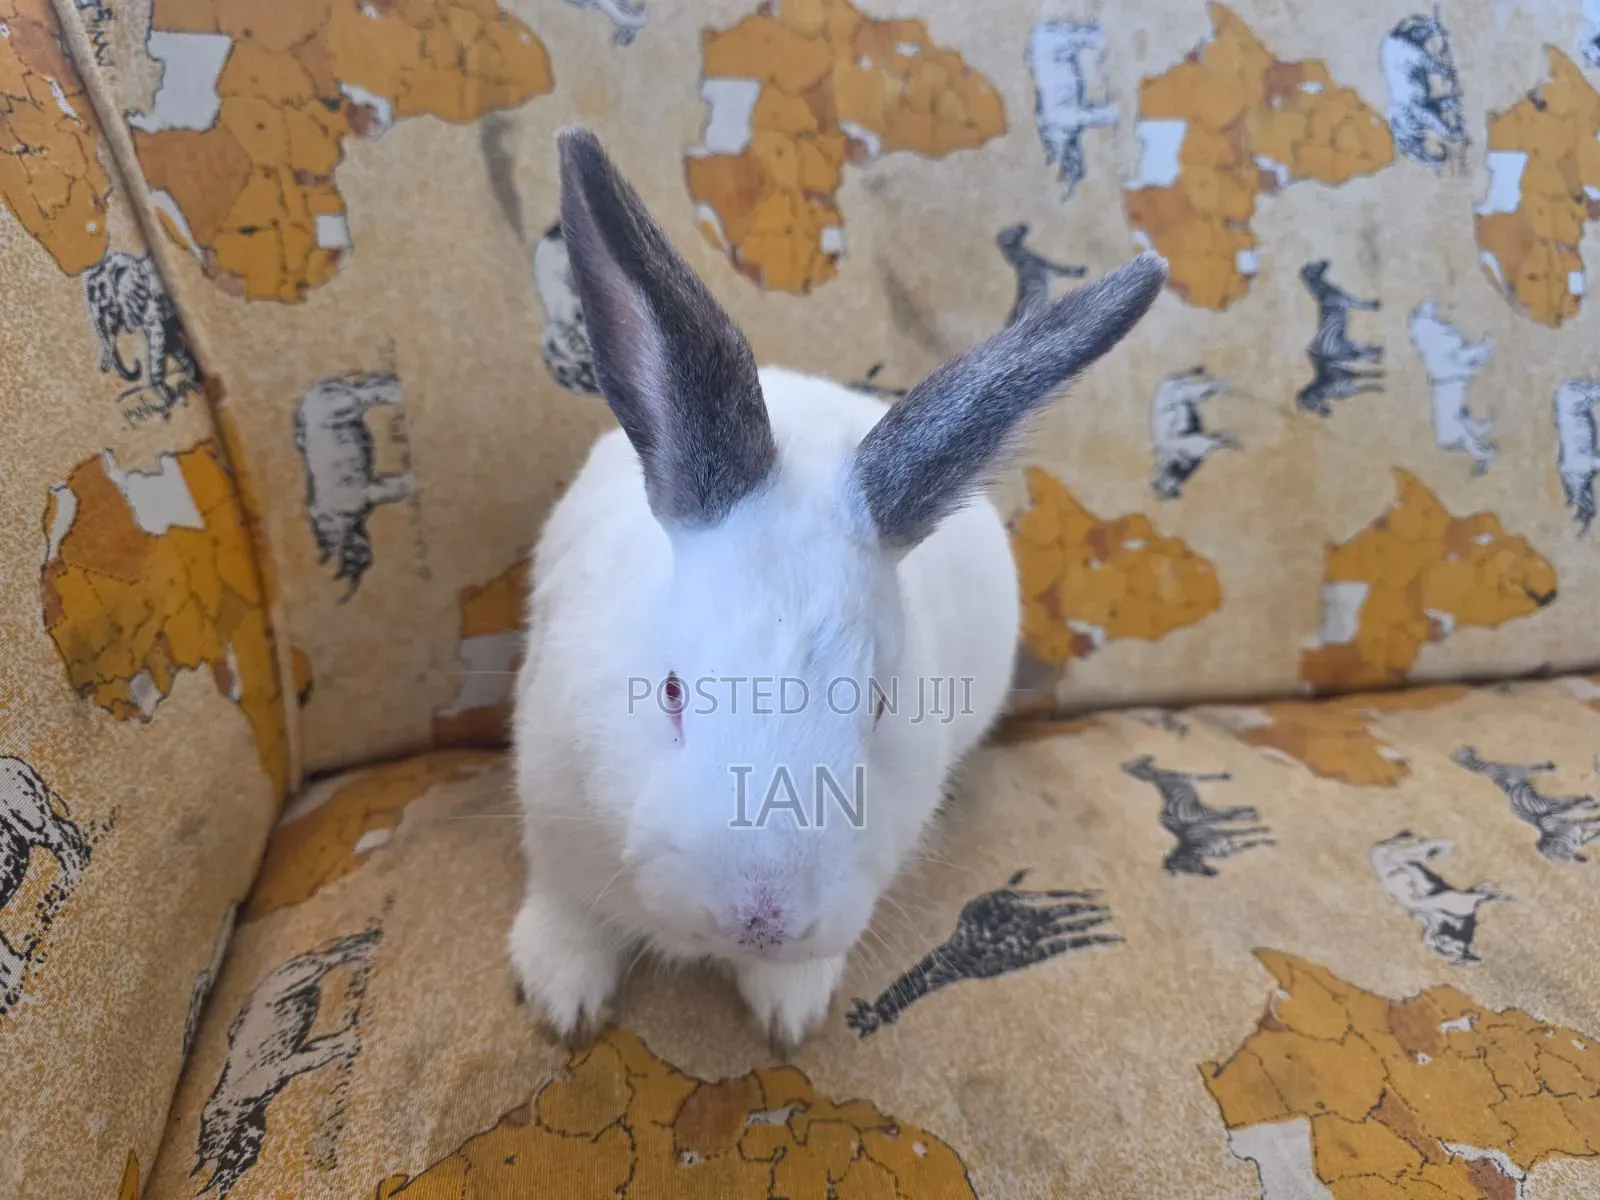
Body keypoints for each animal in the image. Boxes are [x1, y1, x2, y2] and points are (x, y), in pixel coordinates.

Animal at [509, 127, 1165, 1054]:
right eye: (671, 691)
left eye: (881, 704)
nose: (763, 917)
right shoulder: (553, 819)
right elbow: (568, 912)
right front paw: (562, 999)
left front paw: (787, 1009)